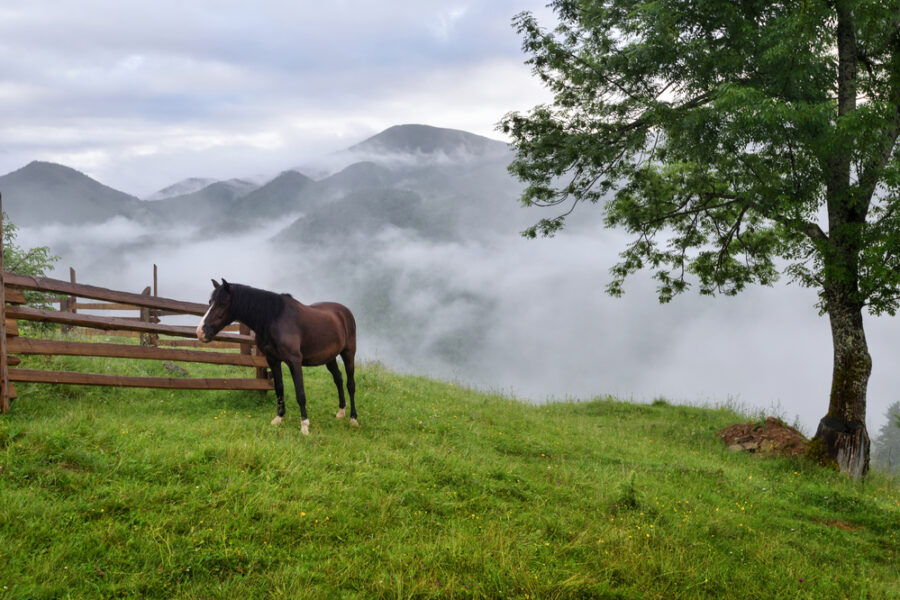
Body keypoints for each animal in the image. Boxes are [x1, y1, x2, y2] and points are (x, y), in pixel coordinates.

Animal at [195, 278, 356, 434]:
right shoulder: (273, 360)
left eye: (222, 304)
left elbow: (300, 393)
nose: (200, 332)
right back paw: (341, 412)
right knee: (338, 379)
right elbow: (279, 388)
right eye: (210, 302)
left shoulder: (294, 361)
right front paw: (278, 419)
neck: (274, 319)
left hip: (348, 353)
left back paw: (353, 419)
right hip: (329, 357)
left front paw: (304, 426)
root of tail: (344, 311)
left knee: (350, 384)